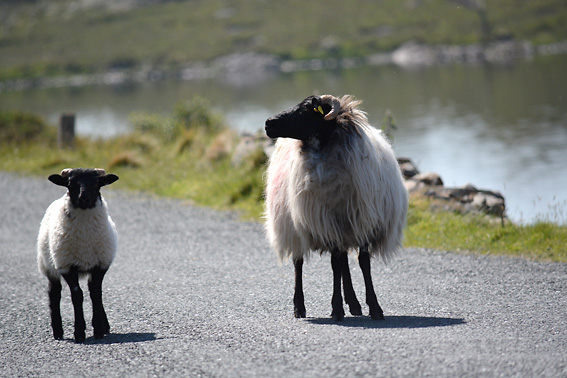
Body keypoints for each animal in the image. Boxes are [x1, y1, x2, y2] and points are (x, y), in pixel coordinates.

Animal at [37, 168, 119, 342]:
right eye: (70, 183)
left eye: (96, 183)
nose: (83, 198)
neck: (85, 239)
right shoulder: (67, 266)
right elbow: (77, 295)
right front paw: (79, 332)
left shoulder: (100, 264)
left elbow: (96, 294)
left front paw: (99, 330)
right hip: (49, 266)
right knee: (54, 293)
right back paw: (58, 331)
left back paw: (105, 325)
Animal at [266, 94, 408, 318]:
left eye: (305, 109)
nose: (268, 123)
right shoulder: (328, 222)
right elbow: (335, 264)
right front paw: (337, 309)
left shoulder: (361, 222)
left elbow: (361, 263)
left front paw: (374, 308)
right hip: (293, 227)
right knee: (299, 262)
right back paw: (299, 307)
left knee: (343, 263)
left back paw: (354, 304)